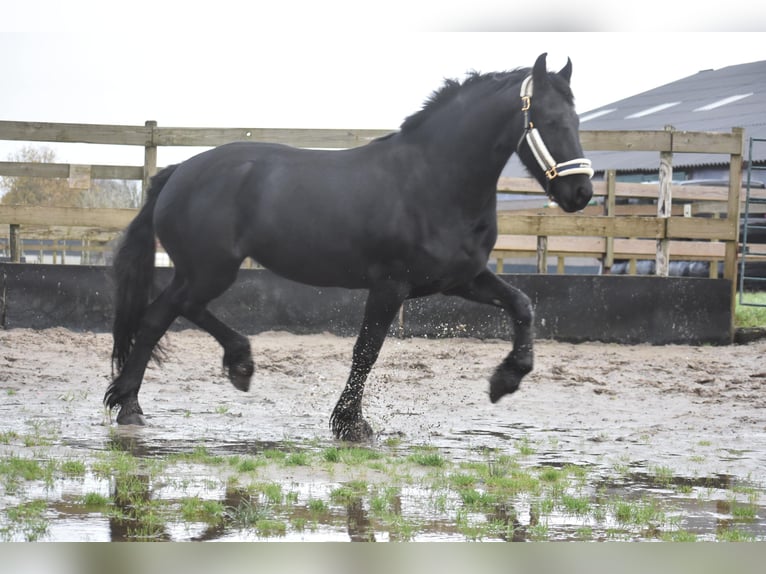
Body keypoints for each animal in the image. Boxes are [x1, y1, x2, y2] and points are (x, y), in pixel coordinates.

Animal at [105, 53, 592, 440]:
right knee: (169, 313)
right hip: (210, 271)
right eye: (550, 122)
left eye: (577, 122)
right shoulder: (391, 285)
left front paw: (505, 381)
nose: (581, 193)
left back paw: (145, 401)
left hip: (199, 272)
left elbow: (522, 305)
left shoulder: (461, 279)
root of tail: (178, 172)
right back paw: (213, 374)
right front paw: (351, 424)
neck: (432, 179)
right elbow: (366, 351)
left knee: (160, 317)